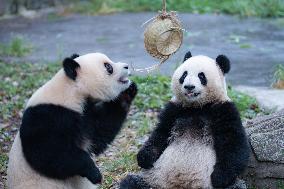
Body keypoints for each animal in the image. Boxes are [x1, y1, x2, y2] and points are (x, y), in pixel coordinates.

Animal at [7, 52, 138, 188]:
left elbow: (99, 134)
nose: (126, 66)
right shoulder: (47, 117)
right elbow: (47, 154)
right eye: (108, 67)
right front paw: (94, 173)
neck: (71, 91)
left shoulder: (85, 115)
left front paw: (128, 92)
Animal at [119, 51, 248, 188]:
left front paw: (219, 177)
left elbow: (233, 143)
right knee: (131, 182)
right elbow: (160, 133)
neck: (196, 106)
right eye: (184, 74)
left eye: (201, 76)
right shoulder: (174, 109)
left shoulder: (223, 110)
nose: (189, 86)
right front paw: (144, 158)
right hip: (153, 178)